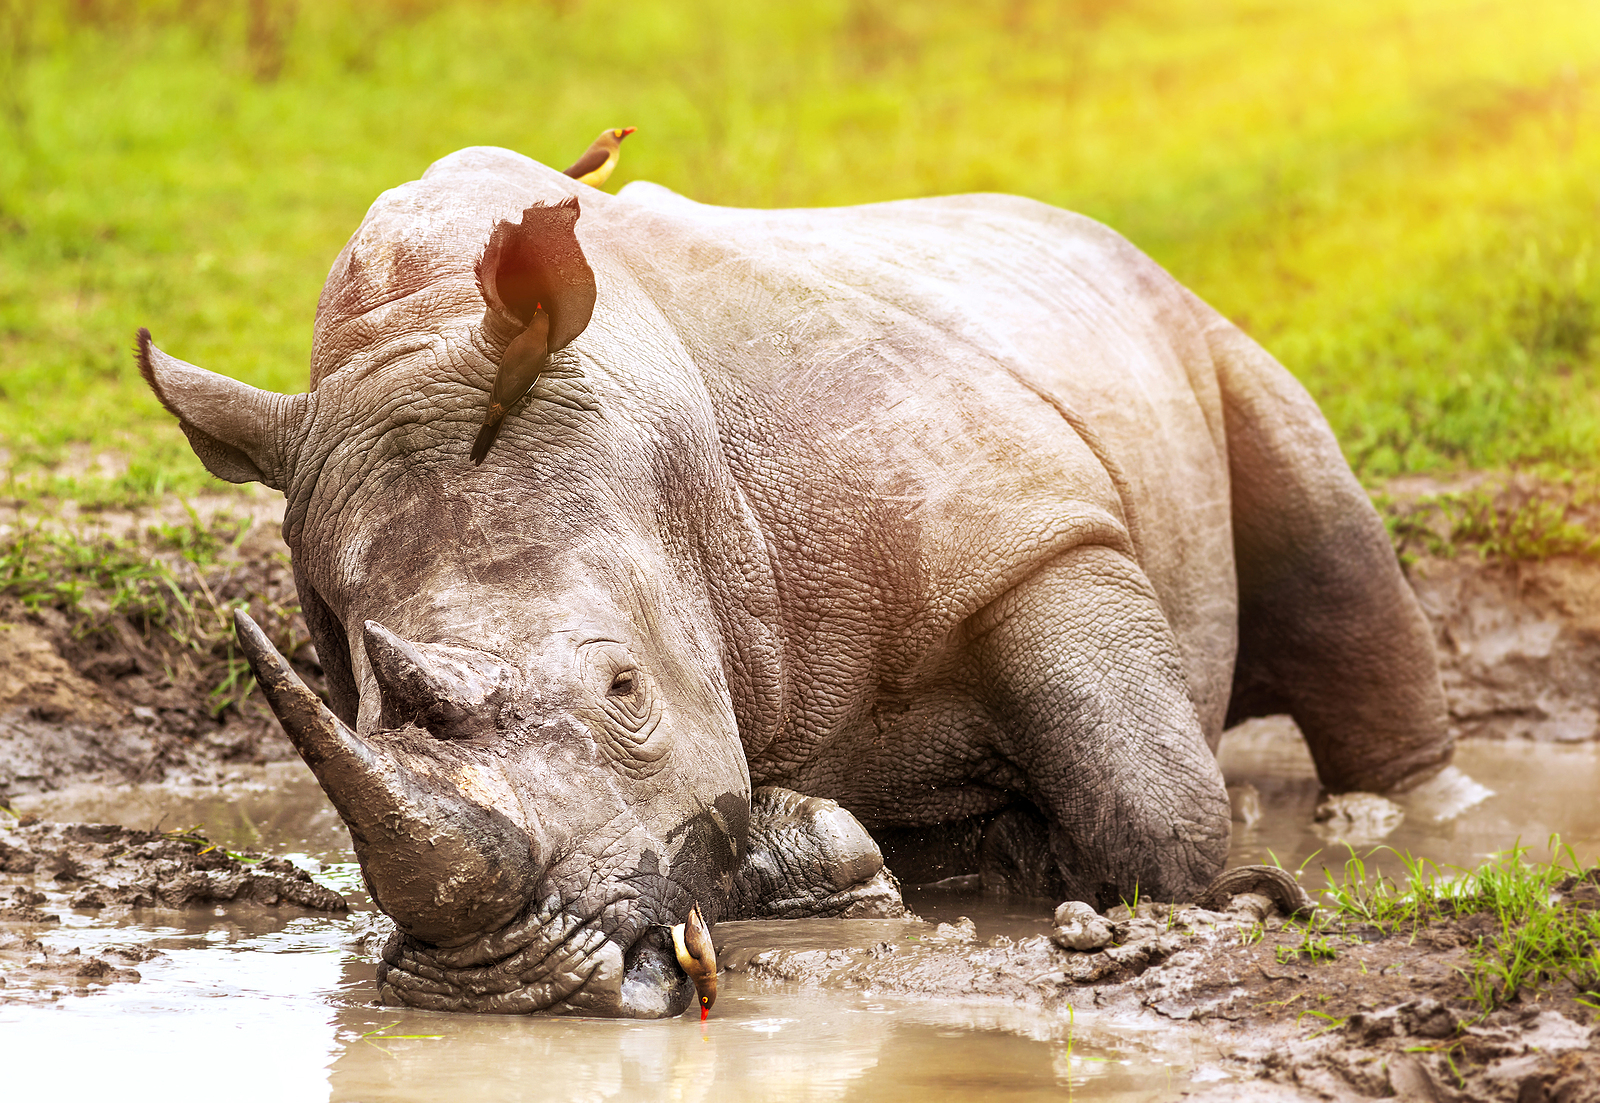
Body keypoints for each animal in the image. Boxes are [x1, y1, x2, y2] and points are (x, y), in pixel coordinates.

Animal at [137, 146, 1449, 1017]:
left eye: (625, 690)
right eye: (357, 706)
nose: (505, 985)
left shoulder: (1025, 528)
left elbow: (1145, 797)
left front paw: (1168, 891)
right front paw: (847, 858)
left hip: (1188, 320)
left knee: (1328, 542)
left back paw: (1387, 816)